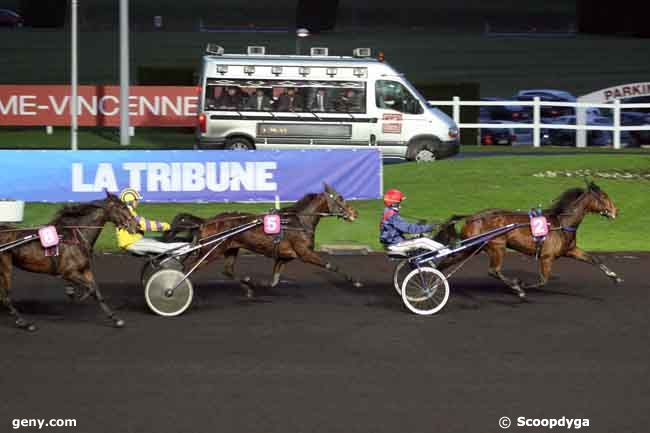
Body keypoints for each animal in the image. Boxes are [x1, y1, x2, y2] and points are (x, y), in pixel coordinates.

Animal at [0, 191, 137, 330]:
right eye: (122, 207)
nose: (137, 226)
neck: (75, 237)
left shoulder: (85, 269)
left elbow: (96, 290)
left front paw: (115, 318)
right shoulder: (68, 272)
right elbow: (90, 288)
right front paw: (74, 293)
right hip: (5, 266)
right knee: (5, 297)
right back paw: (24, 322)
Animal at [167, 182, 360, 296]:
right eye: (341, 198)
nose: (355, 213)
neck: (299, 221)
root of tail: (206, 221)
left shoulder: (284, 257)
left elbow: (274, 281)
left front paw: (256, 283)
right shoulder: (304, 253)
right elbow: (331, 265)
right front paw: (355, 281)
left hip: (231, 249)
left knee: (227, 271)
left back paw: (248, 288)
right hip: (212, 251)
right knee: (188, 269)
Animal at [440, 181, 616, 298]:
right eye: (604, 196)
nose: (615, 211)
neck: (561, 223)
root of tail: (472, 217)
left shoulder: (570, 250)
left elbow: (593, 259)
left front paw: (614, 275)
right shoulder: (546, 257)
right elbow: (543, 280)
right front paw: (521, 285)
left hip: (473, 247)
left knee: (449, 261)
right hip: (497, 246)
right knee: (493, 270)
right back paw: (516, 288)